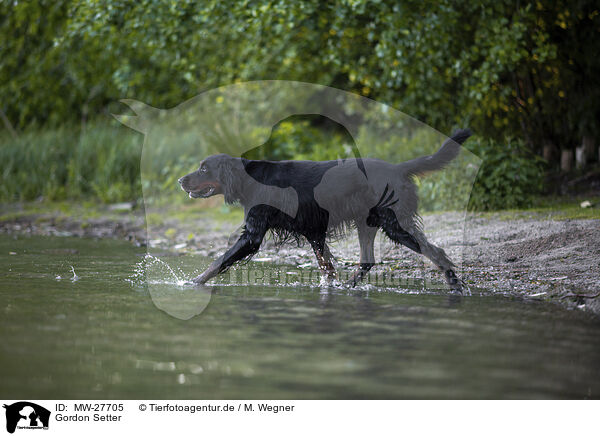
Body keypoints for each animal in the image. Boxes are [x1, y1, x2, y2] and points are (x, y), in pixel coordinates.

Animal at [179, 129, 474, 290]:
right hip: (367, 222)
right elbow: (327, 266)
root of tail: (399, 168)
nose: (181, 180)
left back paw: (456, 287)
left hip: (395, 223)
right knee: (367, 260)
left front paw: (193, 282)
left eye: (204, 169)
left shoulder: (253, 235)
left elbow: (219, 260)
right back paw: (348, 287)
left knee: (436, 252)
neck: (249, 179)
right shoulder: (313, 231)